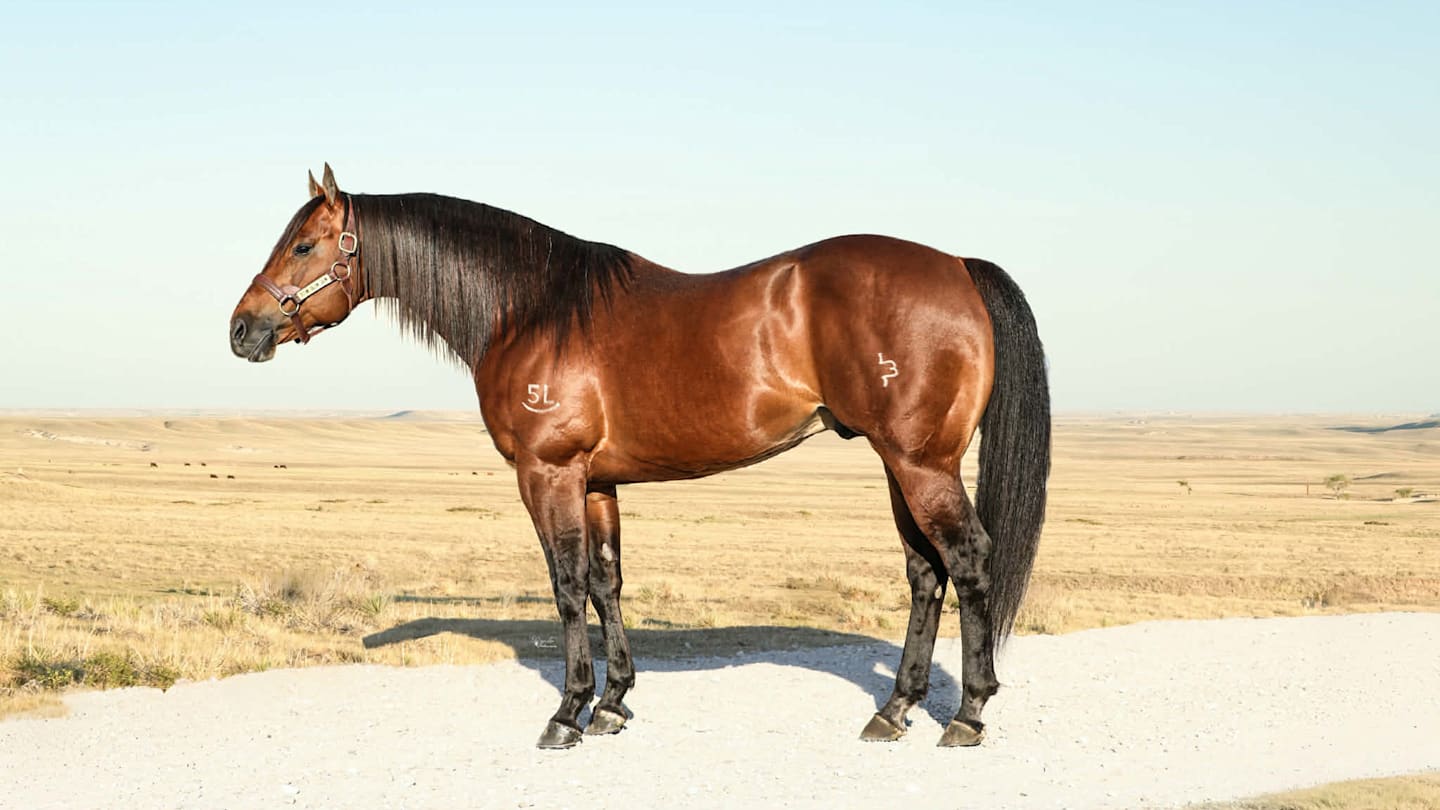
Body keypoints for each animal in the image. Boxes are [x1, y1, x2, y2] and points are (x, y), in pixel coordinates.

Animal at [229, 165, 1050, 749]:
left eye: (303, 245)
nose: (242, 329)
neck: (534, 309)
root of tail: (956, 264)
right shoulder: (598, 482)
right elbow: (606, 582)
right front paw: (614, 703)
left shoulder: (548, 474)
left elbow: (566, 586)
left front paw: (567, 713)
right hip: (898, 464)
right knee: (925, 573)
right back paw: (894, 710)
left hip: (920, 464)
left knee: (968, 560)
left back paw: (967, 715)